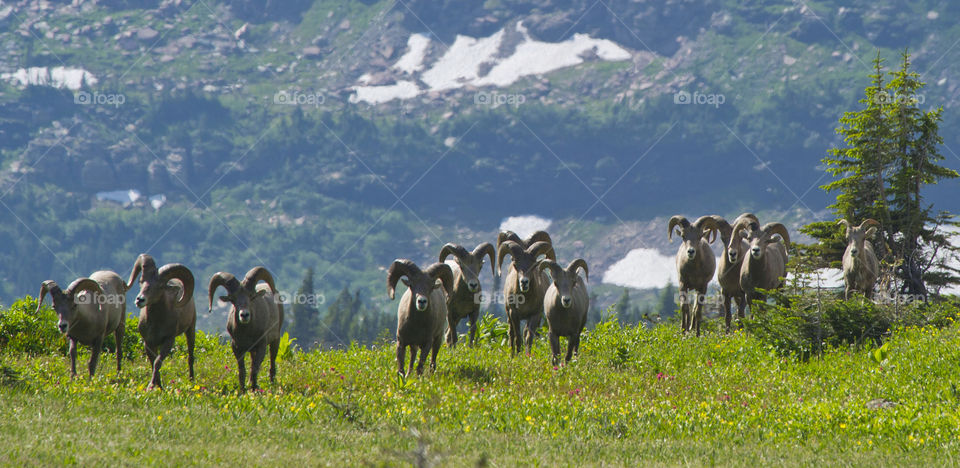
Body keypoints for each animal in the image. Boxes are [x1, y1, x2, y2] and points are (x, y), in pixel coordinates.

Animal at [126, 254, 196, 390]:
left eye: (160, 286)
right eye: (141, 281)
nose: (140, 300)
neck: (156, 324)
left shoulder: (168, 340)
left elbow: (158, 362)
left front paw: (151, 386)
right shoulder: (148, 343)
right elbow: (153, 362)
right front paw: (158, 386)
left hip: (191, 329)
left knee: (190, 357)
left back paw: (191, 381)